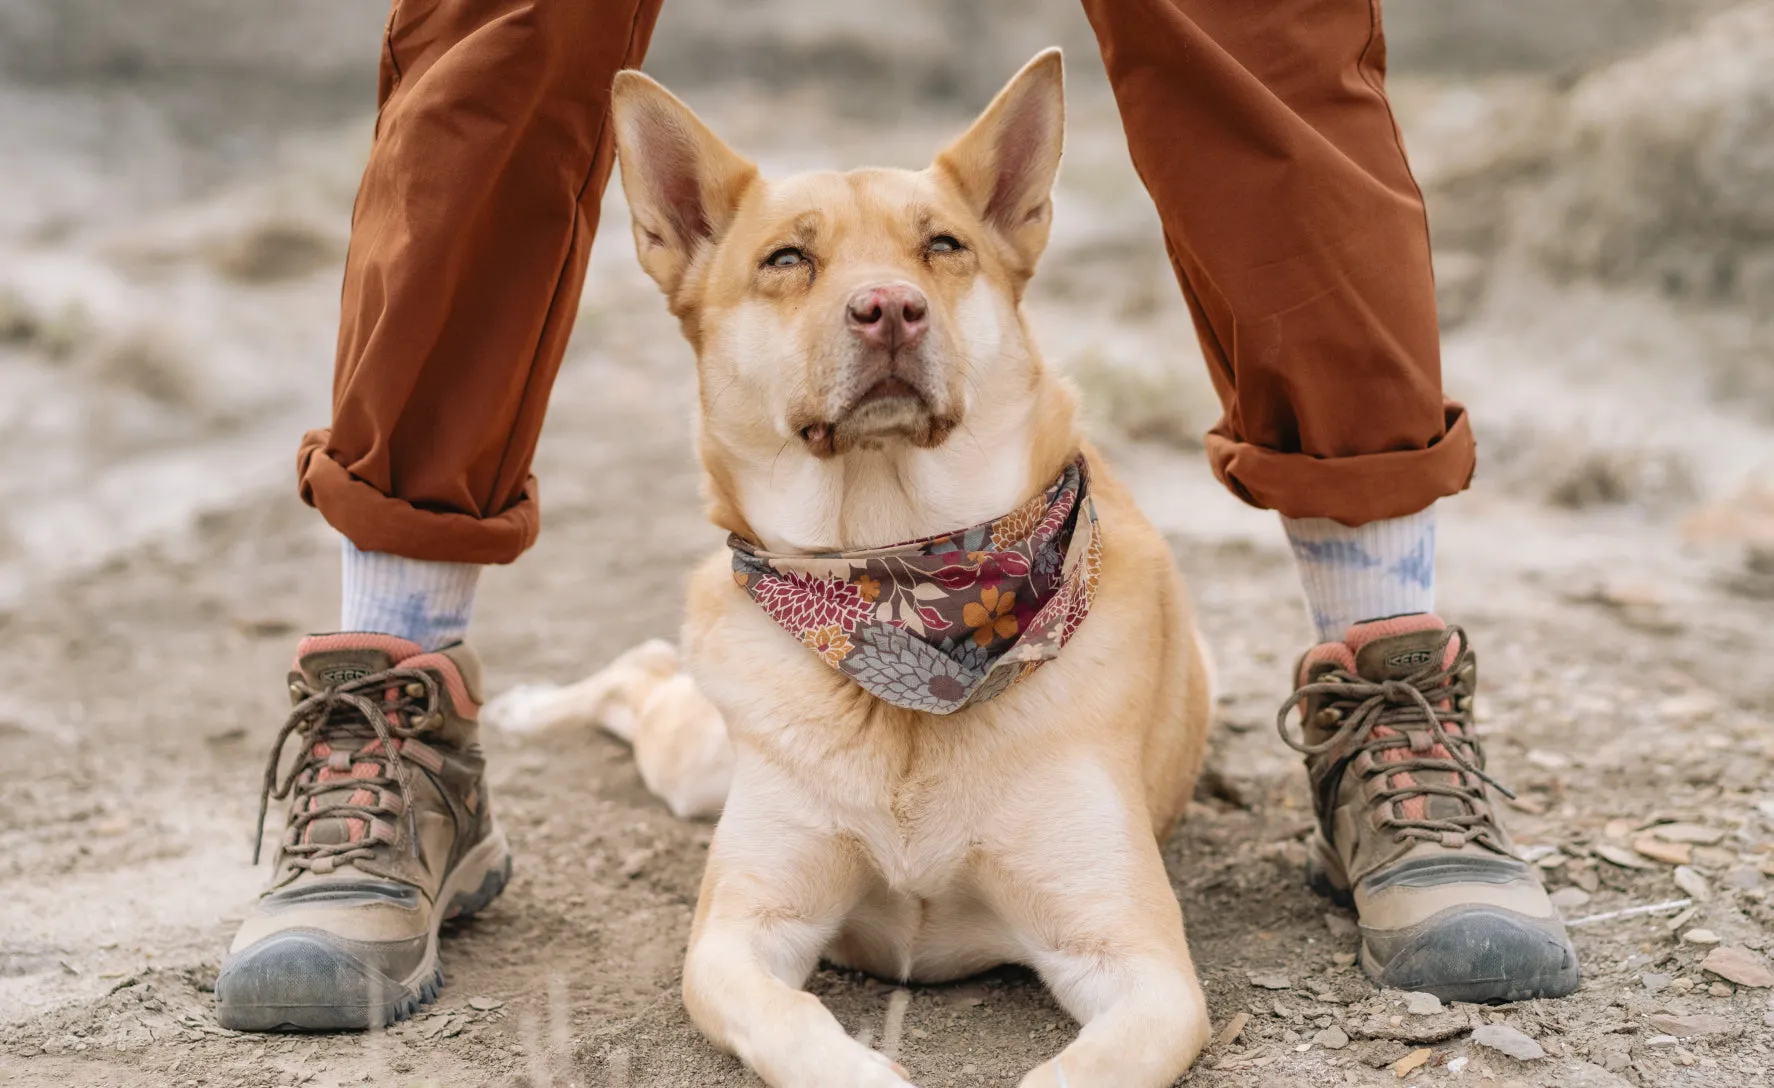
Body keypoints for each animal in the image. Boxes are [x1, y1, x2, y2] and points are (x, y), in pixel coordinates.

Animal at [500, 51, 1220, 1086]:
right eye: (787, 260)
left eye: (943, 246)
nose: (890, 310)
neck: (899, 585)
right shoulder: (738, 936)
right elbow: (795, 1022)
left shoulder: (1141, 964)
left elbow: (1080, 1070)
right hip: (703, 766)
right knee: (642, 676)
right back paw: (524, 709)